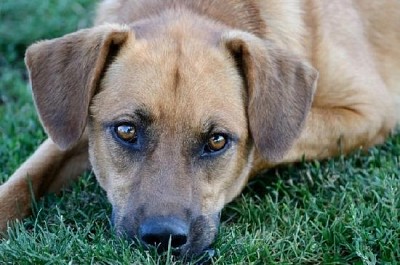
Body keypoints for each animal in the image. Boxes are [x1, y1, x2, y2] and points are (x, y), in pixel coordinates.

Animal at [0, 0, 400, 256]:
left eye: (217, 140)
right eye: (126, 131)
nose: (163, 239)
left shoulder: (368, 113)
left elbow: (268, 146)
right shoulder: (74, 122)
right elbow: (24, 179)